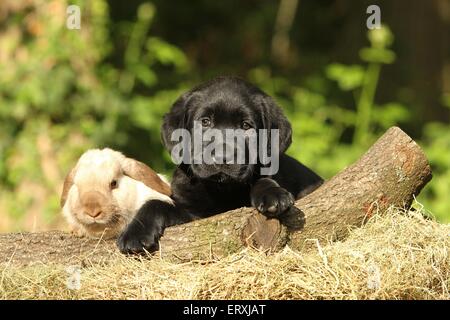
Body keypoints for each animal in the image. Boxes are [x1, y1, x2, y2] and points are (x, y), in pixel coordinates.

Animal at [118, 76, 324, 254]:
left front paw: (273, 195)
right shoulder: (192, 214)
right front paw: (134, 233)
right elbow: (157, 203)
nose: (222, 157)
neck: (221, 189)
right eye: (205, 122)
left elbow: (264, 181)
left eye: (246, 126)